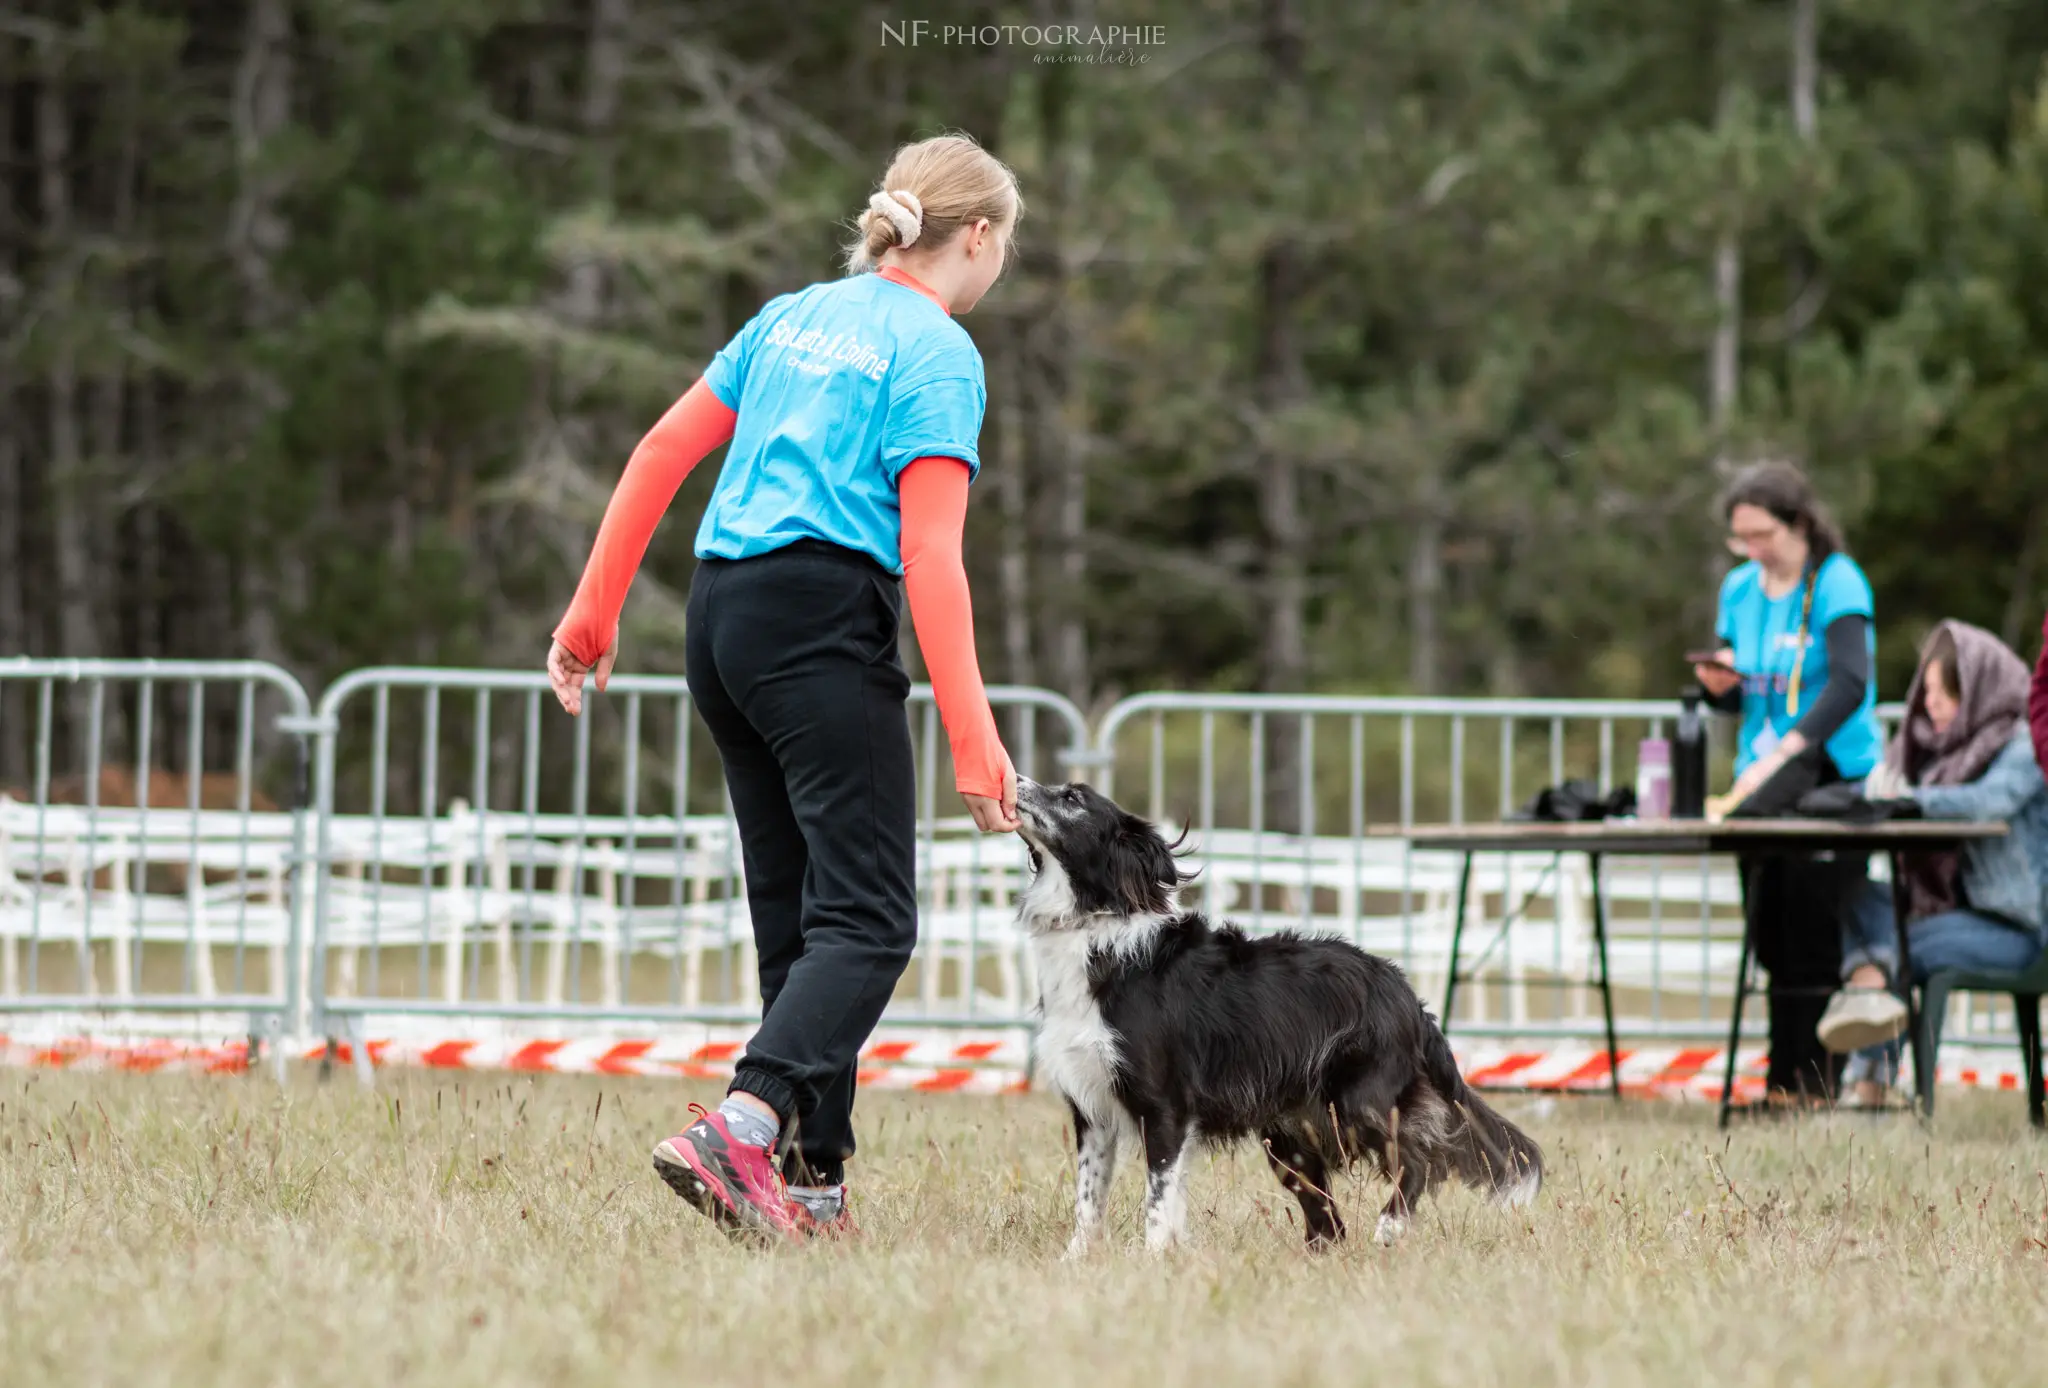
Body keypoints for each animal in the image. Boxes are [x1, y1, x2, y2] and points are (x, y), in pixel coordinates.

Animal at [1015, 777, 1540, 1252]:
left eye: (1072, 798)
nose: (1016, 780)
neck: (1092, 927)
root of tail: (1405, 993)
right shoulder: (1093, 1110)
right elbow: (1089, 1200)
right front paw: (1079, 1260)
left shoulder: (1164, 1108)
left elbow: (1158, 1201)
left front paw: (1153, 1259)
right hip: (1290, 1139)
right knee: (1329, 1218)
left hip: (1356, 1103)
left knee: (1421, 1156)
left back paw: (1391, 1226)